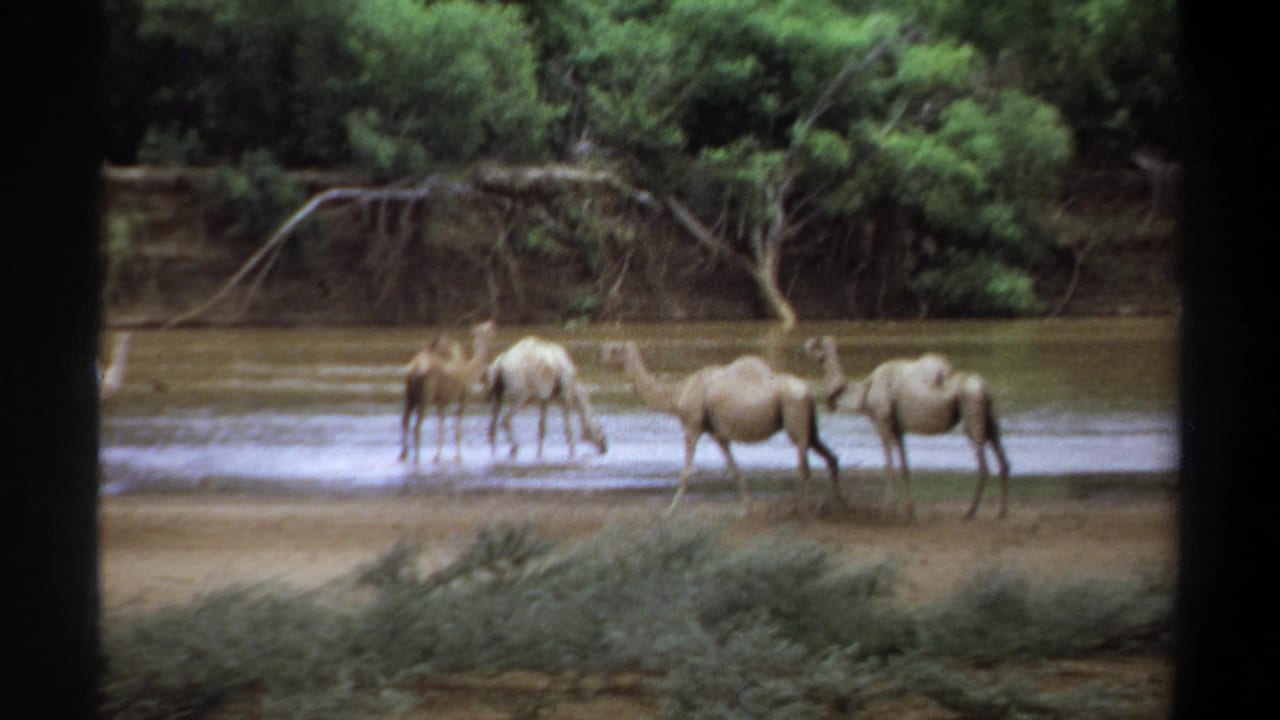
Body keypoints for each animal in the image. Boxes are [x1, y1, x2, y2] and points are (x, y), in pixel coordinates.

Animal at [399, 320, 497, 463]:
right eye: (487, 329)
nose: (494, 325)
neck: (470, 371)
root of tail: (414, 369)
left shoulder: (441, 401)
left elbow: (442, 423)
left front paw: (437, 455)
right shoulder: (464, 396)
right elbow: (457, 424)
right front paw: (458, 455)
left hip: (409, 394)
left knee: (405, 420)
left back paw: (403, 454)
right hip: (425, 395)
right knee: (417, 425)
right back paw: (416, 457)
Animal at [600, 340, 841, 513]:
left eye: (614, 349)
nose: (602, 352)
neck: (678, 395)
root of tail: (808, 392)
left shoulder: (692, 424)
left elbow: (687, 471)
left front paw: (672, 508)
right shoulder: (717, 433)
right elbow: (733, 468)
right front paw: (746, 507)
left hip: (794, 416)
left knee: (804, 466)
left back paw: (800, 508)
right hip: (810, 426)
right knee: (830, 457)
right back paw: (832, 504)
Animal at [803, 336, 1011, 519]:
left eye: (815, 343)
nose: (802, 348)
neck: (864, 393)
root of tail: (984, 388)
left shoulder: (883, 423)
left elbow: (888, 467)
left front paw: (887, 509)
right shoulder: (898, 429)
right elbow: (905, 467)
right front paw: (909, 511)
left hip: (971, 410)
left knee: (983, 464)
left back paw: (970, 512)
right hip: (989, 417)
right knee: (1002, 459)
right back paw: (1000, 512)